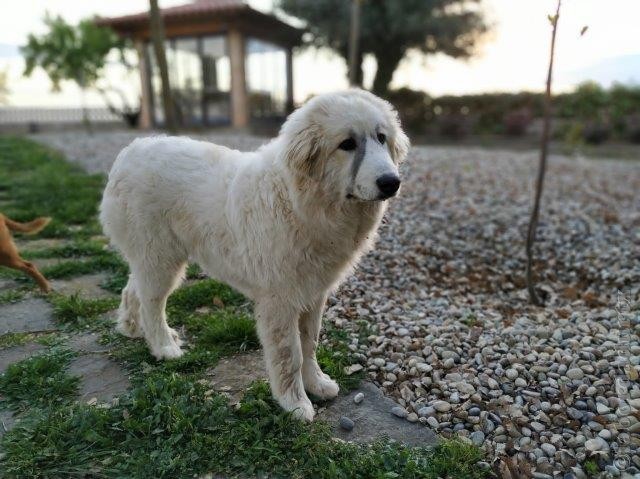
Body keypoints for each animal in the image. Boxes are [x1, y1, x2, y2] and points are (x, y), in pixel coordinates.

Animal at [100, 89, 410, 420]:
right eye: (347, 144)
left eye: (381, 138)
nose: (391, 182)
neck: (300, 202)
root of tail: (130, 151)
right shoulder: (279, 301)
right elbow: (290, 354)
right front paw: (295, 404)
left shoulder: (313, 294)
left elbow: (310, 343)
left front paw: (317, 384)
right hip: (161, 259)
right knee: (152, 303)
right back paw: (162, 347)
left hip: (152, 258)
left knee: (132, 290)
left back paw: (132, 329)